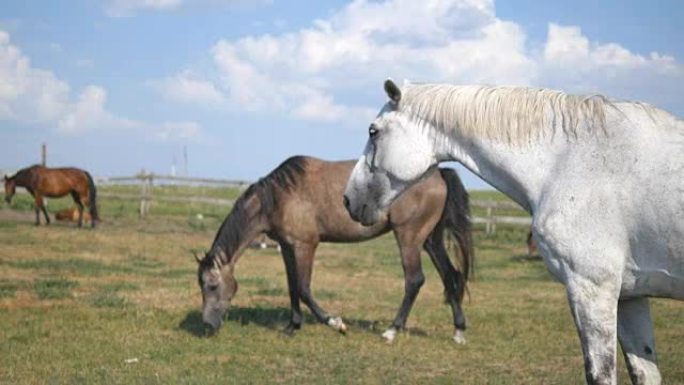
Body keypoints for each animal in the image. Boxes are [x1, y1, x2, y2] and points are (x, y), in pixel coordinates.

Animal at [194, 155, 470, 342]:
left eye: (212, 286)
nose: (207, 325)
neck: (278, 196)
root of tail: (438, 173)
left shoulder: (305, 246)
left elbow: (304, 289)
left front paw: (335, 322)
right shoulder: (287, 247)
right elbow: (292, 287)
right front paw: (292, 327)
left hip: (409, 238)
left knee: (414, 280)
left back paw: (392, 330)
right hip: (430, 240)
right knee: (450, 276)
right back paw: (458, 330)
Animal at [344, 79, 680, 382]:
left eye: (374, 131)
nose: (348, 198)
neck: (571, 162)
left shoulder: (592, 289)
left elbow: (600, 373)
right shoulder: (630, 296)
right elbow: (644, 372)